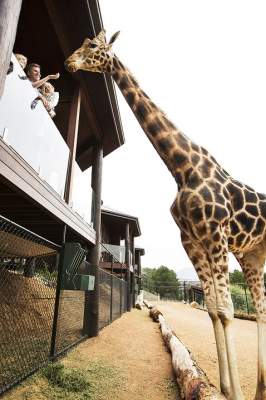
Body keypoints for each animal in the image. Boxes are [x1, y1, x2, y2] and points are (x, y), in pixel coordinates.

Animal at [64, 32, 266, 400]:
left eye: (93, 47)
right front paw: (226, 388)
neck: (182, 168)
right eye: (83, 44)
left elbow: (227, 310)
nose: (69, 62)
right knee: (261, 310)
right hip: (252, 255)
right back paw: (261, 389)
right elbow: (214, 309)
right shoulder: (193, 240)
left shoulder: (215, 235)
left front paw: (235, 392)